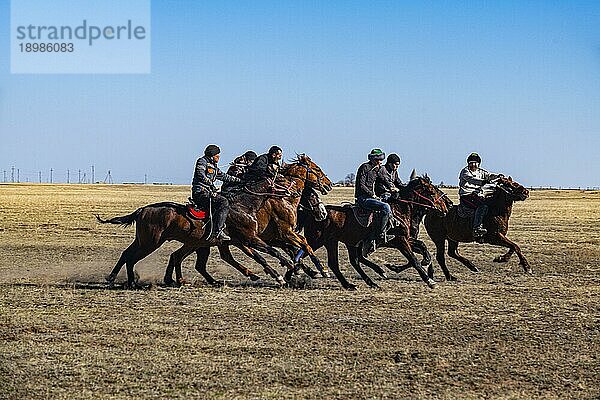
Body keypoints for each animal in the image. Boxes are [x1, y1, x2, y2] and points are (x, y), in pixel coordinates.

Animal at [302, 177, 448, 290]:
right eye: (432, 192)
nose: (446, 207)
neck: (399, 211)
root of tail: (314, 213)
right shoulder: (400, 241)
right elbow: (413, 259)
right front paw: (429, 280)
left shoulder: (406, 239)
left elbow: (423, 247)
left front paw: (426, 263)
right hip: (317, 240)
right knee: (302, 250)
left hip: (339, 242)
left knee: (345, 262)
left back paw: (359, 283)